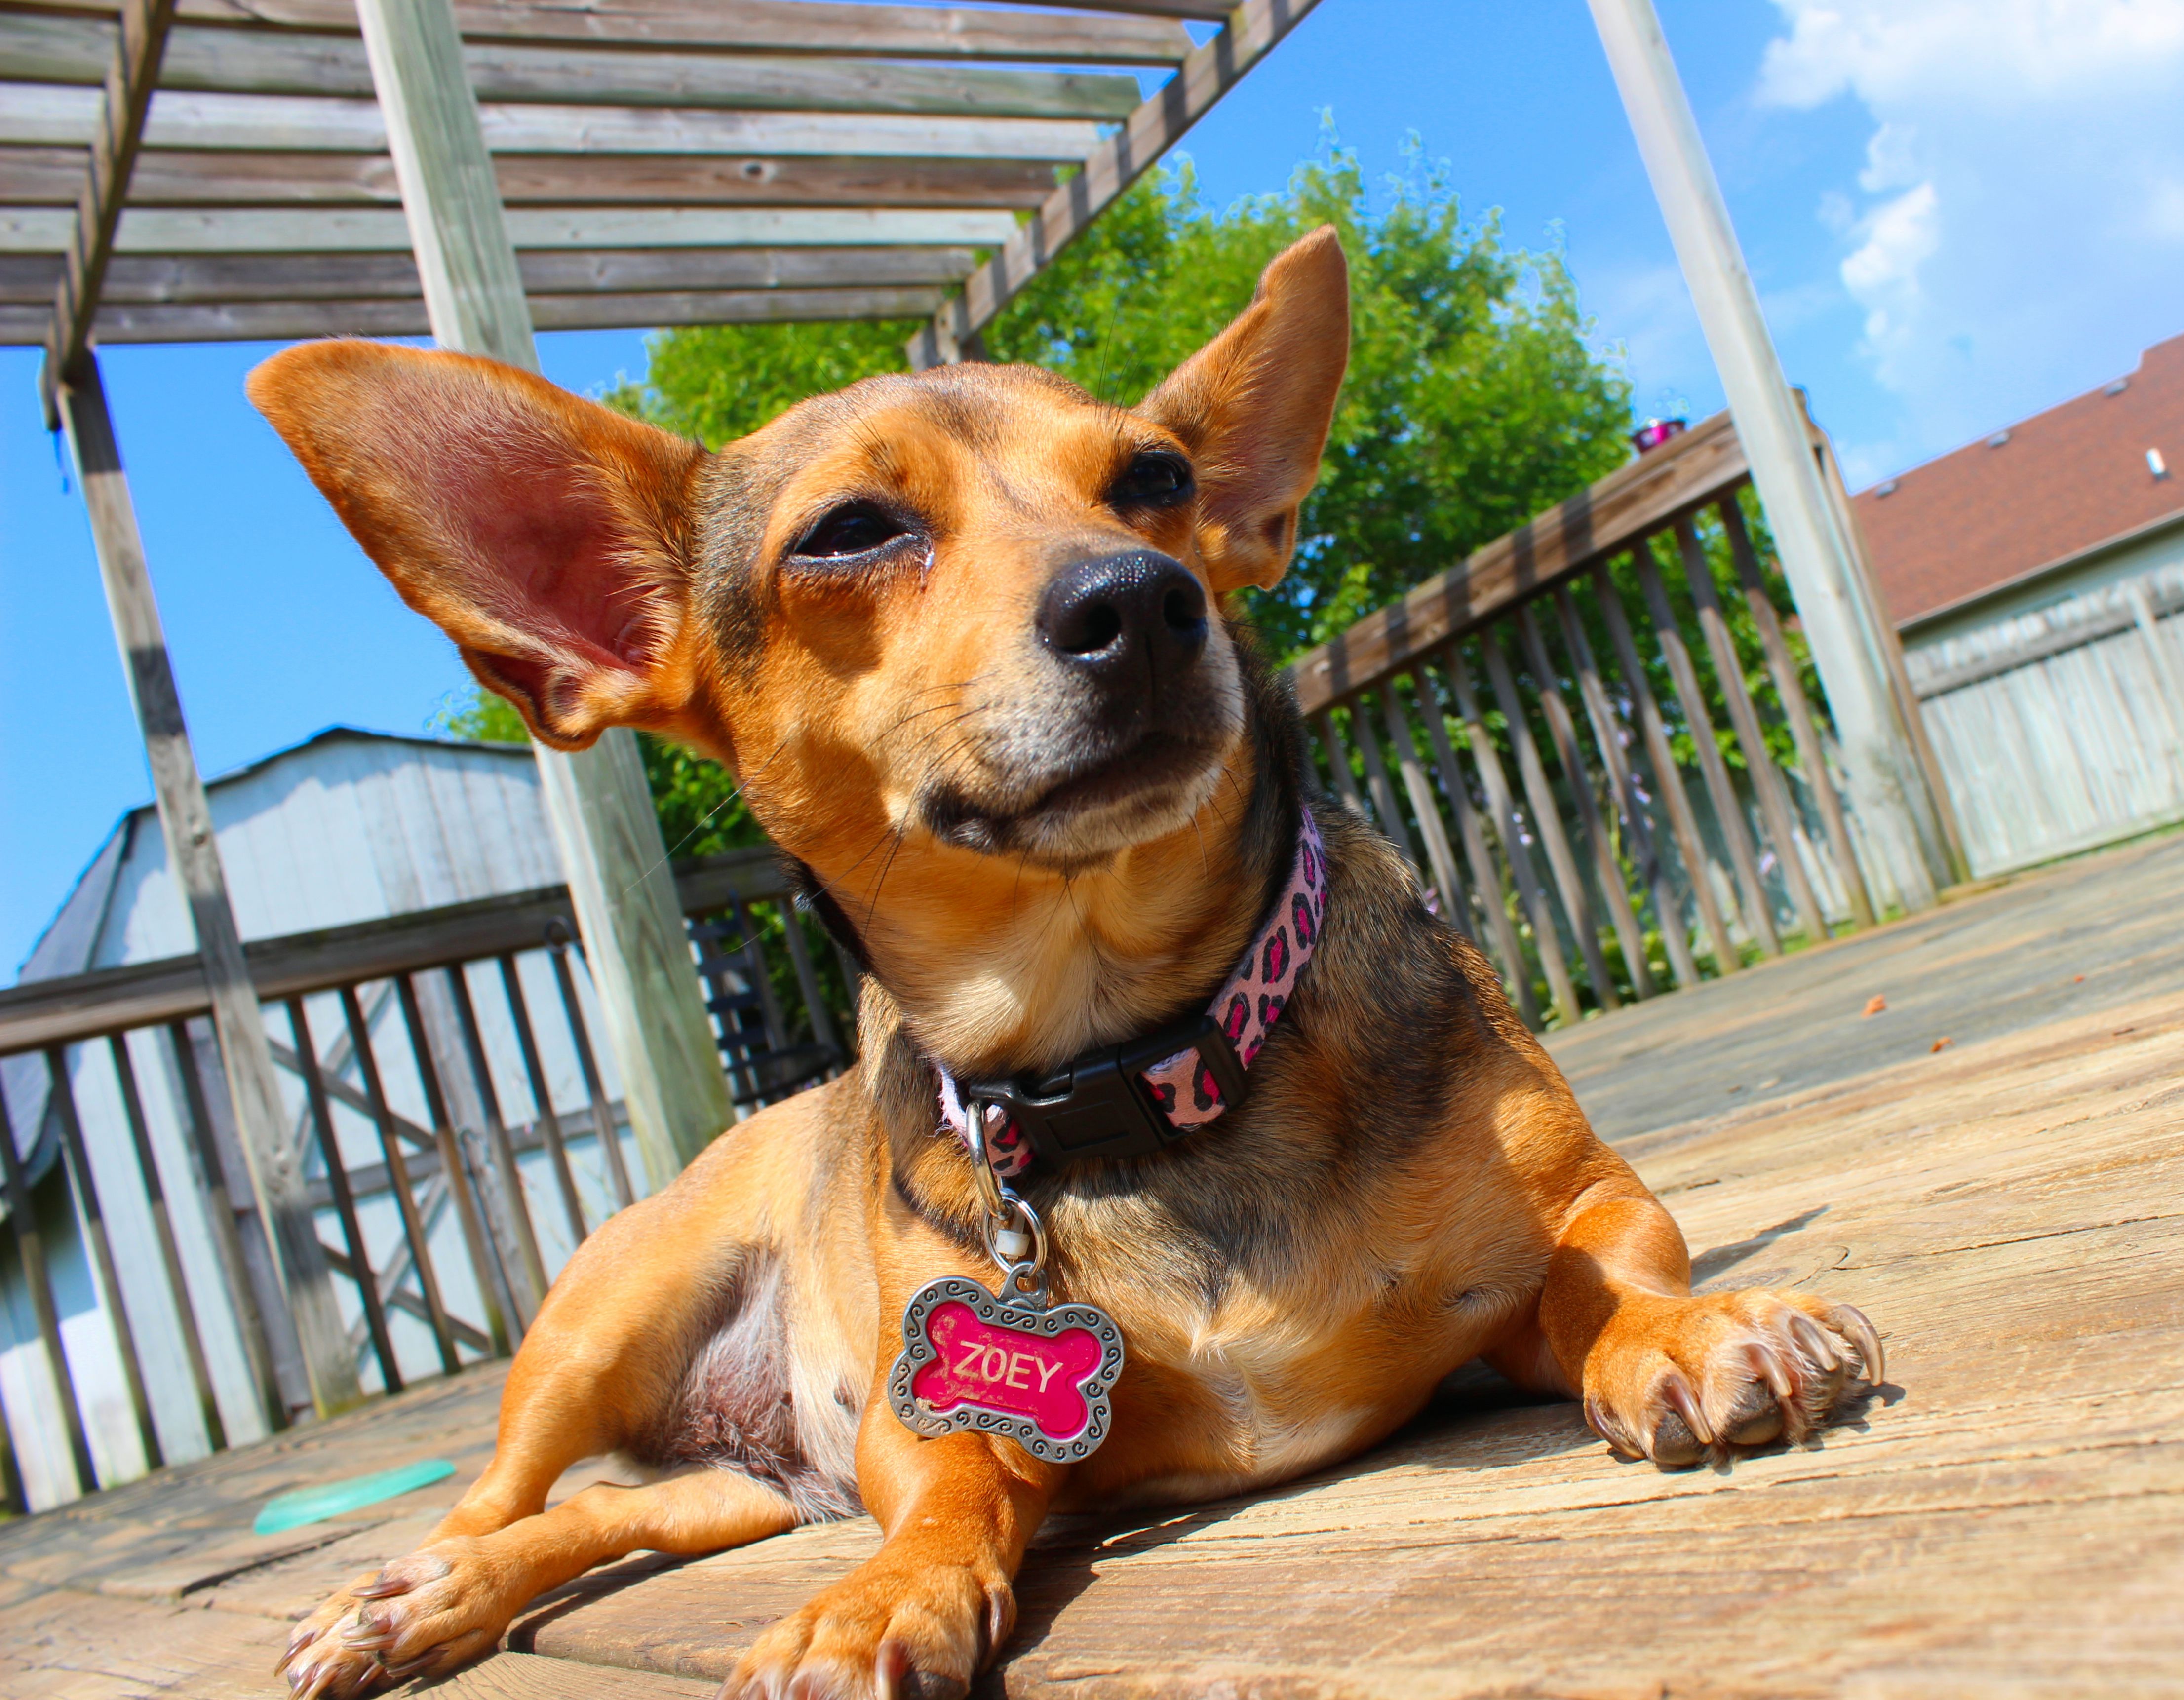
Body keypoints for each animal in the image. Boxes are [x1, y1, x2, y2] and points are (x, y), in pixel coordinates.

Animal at [243, 228, 1878, 1696]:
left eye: (1155, 479)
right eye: (848, 531)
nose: (1138, 595)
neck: (1130, 1053)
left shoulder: (1589, 1202)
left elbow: (1603, 1270)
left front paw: (1683, 1326)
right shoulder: (915, 1417)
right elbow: (960, 1482)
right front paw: (881, 1596)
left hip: (740, 1485)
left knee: (600, 1513)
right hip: (602, 1317)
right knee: (498, 1496)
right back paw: (409, 1593)